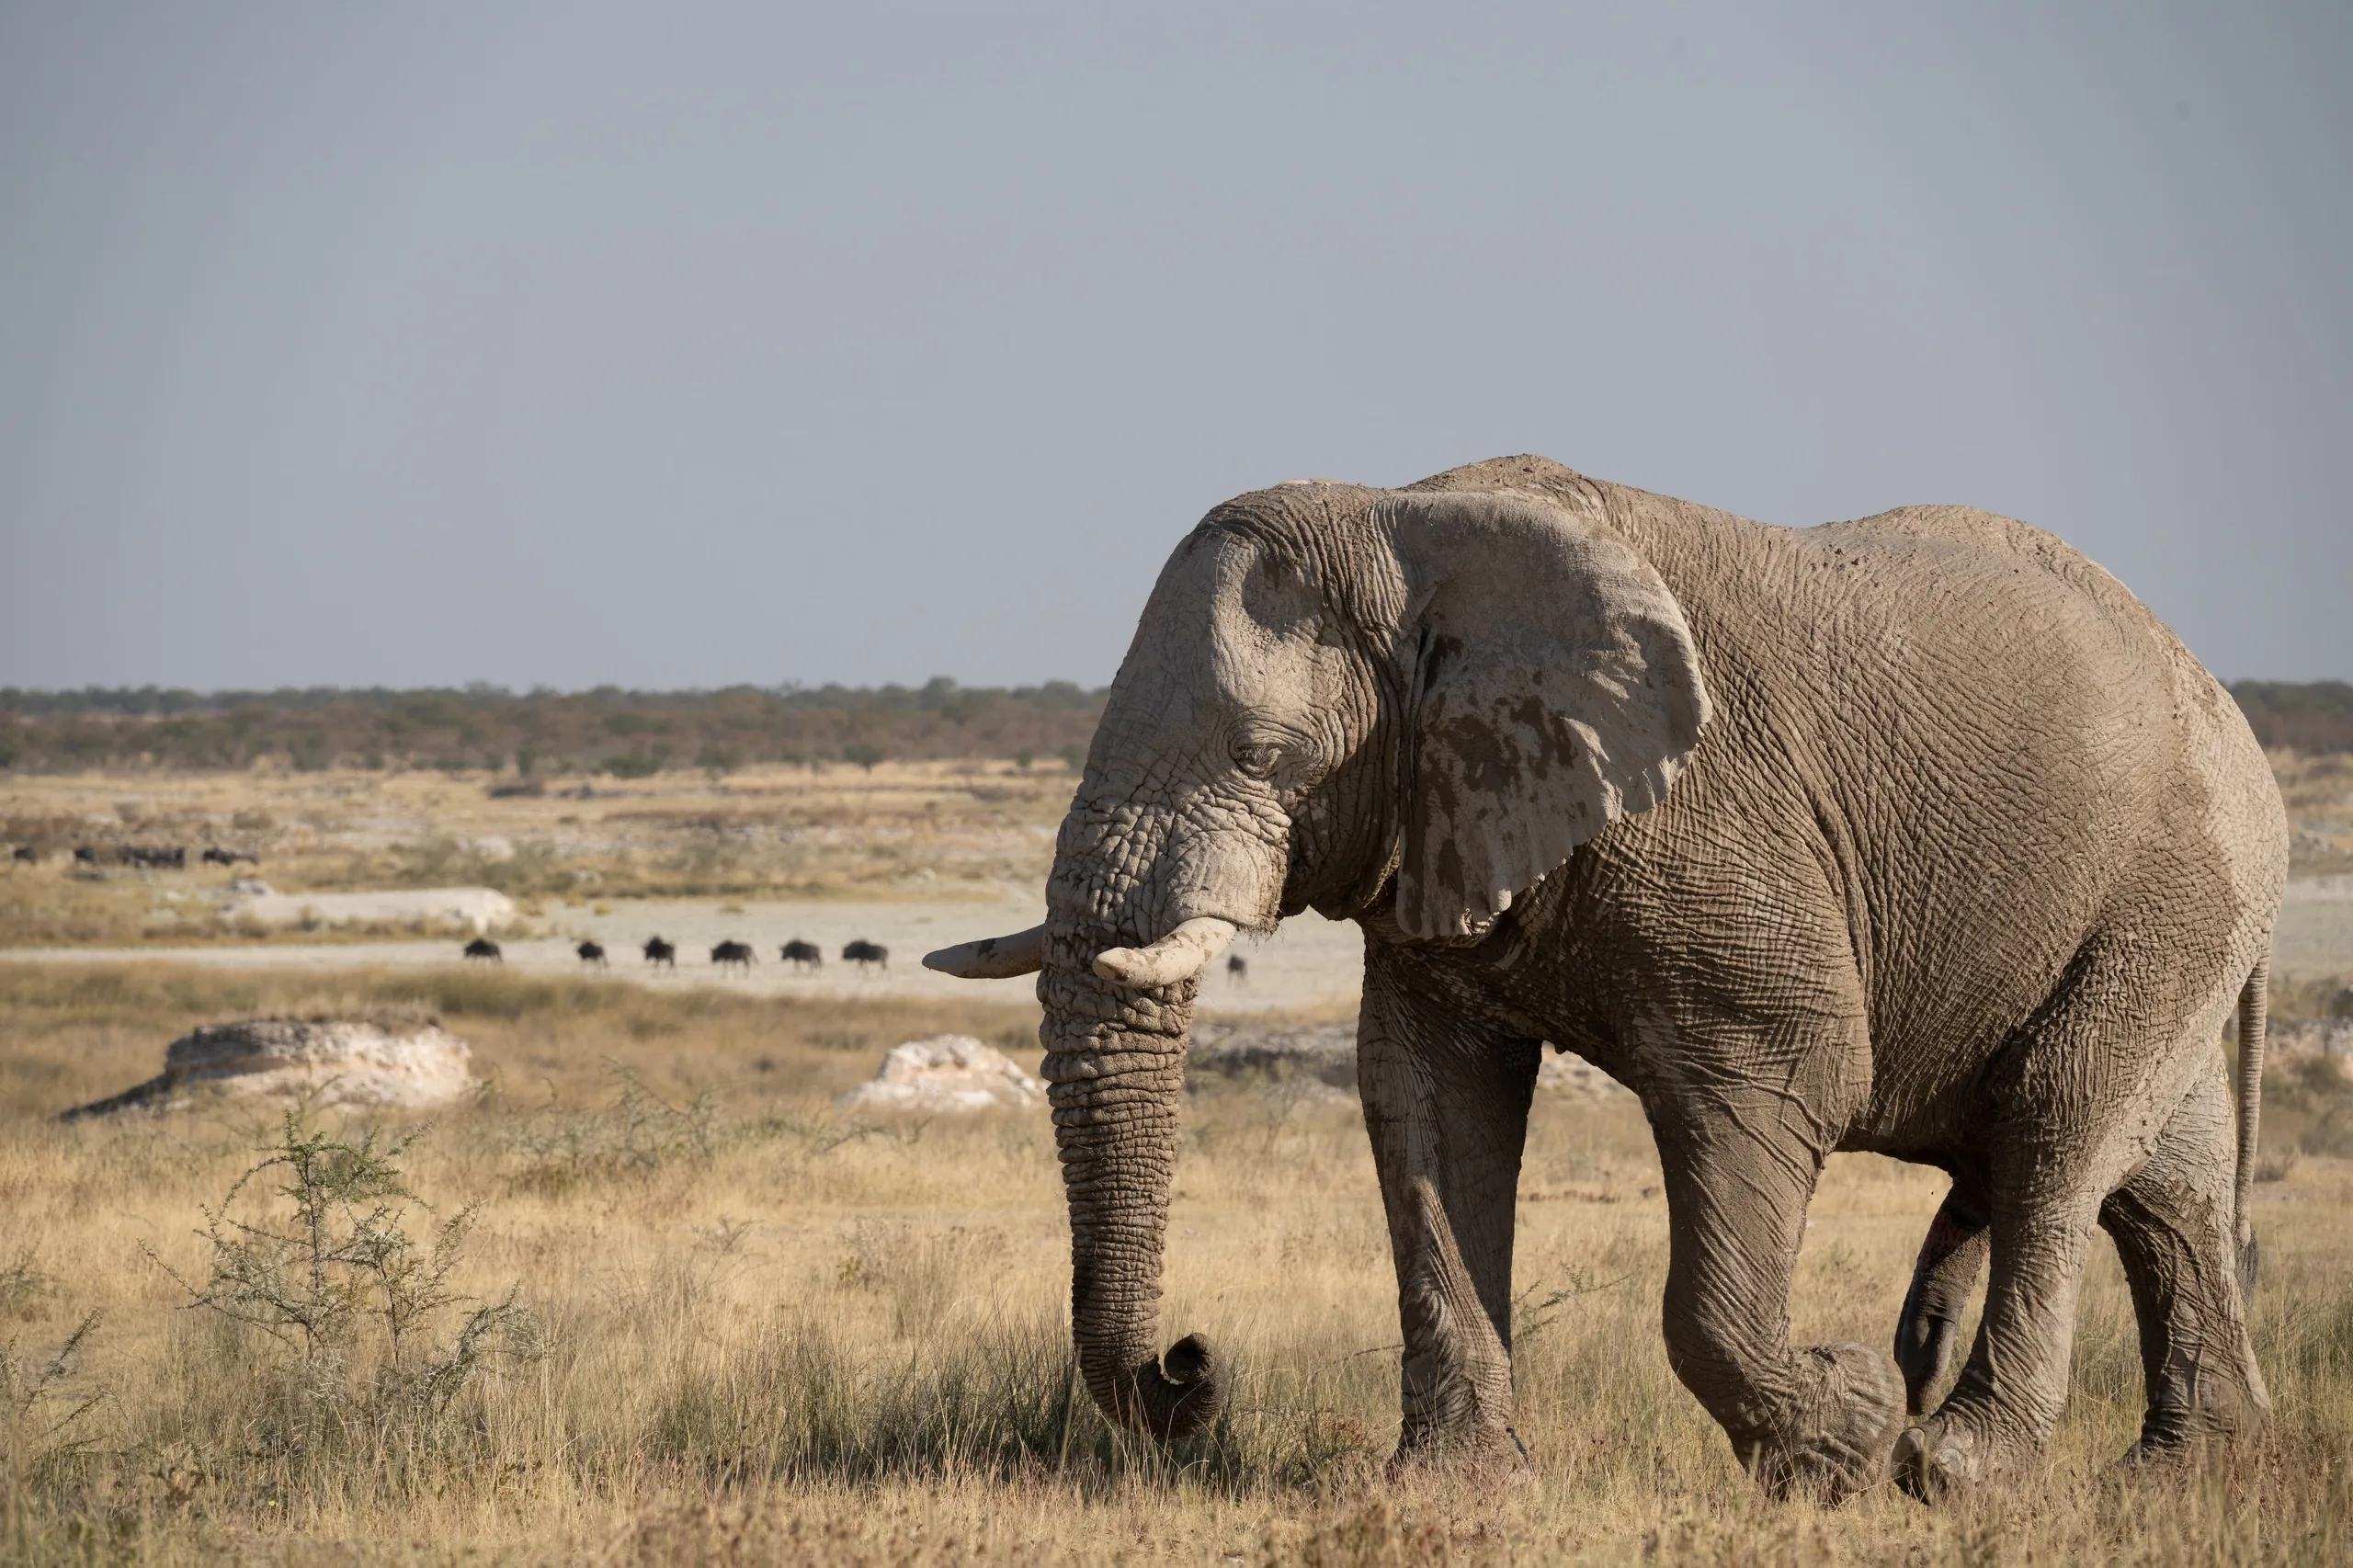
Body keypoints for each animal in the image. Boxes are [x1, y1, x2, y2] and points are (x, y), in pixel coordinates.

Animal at [924, 456, 2283, 1503]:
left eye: (1261, 754)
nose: (1189, 1362)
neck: (1403, 522)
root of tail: (2217, 694)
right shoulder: (1441, 819)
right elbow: (1428, 1102)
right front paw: (1454, 1496)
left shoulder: (1722, 827)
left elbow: (1786, 1076)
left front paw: (1842, 1434)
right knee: (2163, 1183)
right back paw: (2186, 1478)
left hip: (2173, 887)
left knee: (2056, 1135)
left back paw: (1959, 1473)